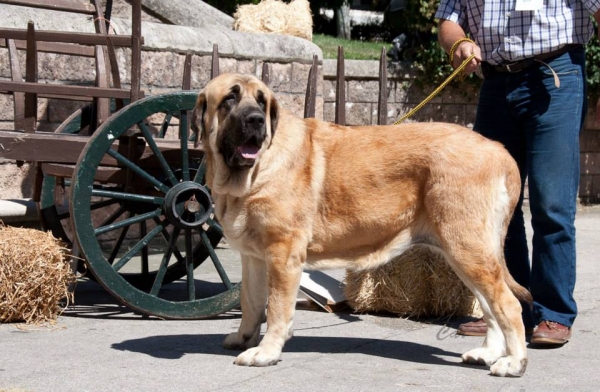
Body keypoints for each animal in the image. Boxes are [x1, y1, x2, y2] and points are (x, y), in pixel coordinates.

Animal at [191, 72, 528, 376]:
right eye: (230, 98)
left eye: (261, 101)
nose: (257, 120)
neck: (253, 172)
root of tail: (497, 150)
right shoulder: (254, 257)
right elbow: (250, 302)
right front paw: (243, 338)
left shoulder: (282, 255)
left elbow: (276, 308)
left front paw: (266, 352)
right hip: (466, 255)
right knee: (489, 305)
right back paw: (488, 353)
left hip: (467, 248)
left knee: (508, 305)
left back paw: (514, 363)